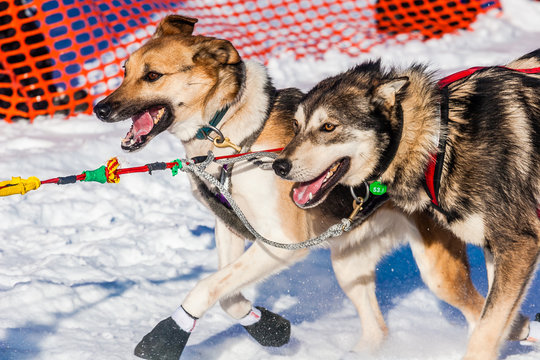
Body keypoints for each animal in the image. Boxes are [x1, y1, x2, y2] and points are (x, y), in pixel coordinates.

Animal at [95, 14, 492, 360]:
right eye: (124, 71)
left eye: (152, 75)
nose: (100, 108)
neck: (233, 137)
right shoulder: (230, 227)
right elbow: (227, 295)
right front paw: (266, 326)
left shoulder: (281, 242)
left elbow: (207, 285)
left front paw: (167, 334)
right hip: (349, 263)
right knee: (378, 329)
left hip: (437, 272)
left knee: (483, 315)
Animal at [274, 49, 540, 358]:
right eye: (296, 126)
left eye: (328, 127)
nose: (279, 166)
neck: (439, 142)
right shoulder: (494, 248)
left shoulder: (518, 244)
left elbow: (487, 328)